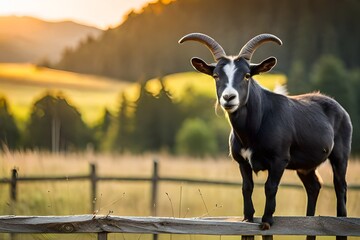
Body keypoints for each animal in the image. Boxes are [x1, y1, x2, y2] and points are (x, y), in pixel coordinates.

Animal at [179, 32, 352, 230]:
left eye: (247, 75)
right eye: (215, 76)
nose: (229, 98)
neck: (253, 129)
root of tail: (340, 108)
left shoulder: (279, 159)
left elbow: (270, 187)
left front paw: (267, 220)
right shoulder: (242, 161)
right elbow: (247, 187)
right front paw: (247, 217)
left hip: (340, 155)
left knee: (340, 185)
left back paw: (341, 219)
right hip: (305, 166)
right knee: (313, 186)